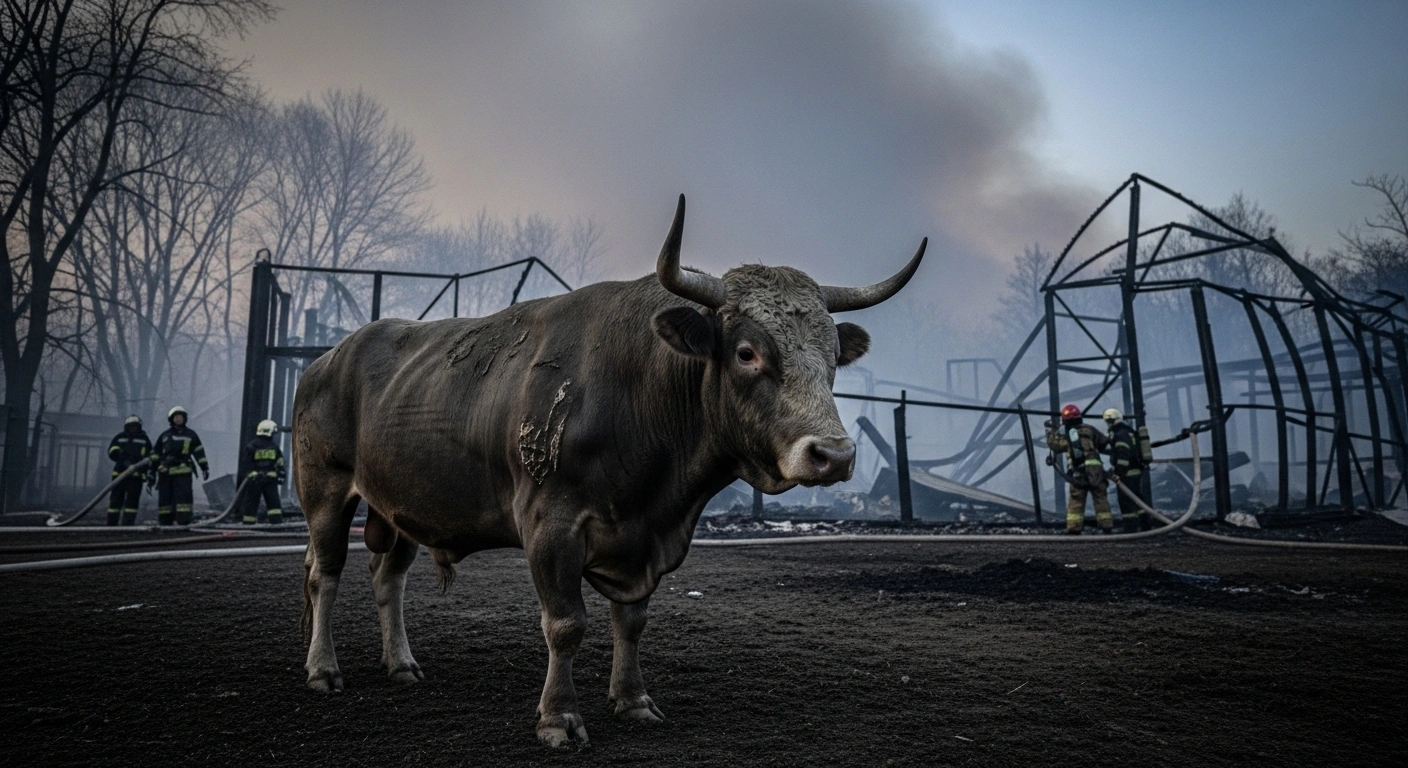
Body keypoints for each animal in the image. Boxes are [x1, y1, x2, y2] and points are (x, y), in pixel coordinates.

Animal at [293, 195, 925, 747]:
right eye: (748, 352)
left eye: (833, 357)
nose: (834, 455)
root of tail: (329, 358)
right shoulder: (550, 527)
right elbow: (566, 624)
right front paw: (558, 718)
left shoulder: (642, 539)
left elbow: (633, 620)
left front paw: (633, 700)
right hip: (325, 490)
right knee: (325, 573)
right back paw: (322, 669)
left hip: (399, 503)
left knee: (387, 578)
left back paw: (401, 664)